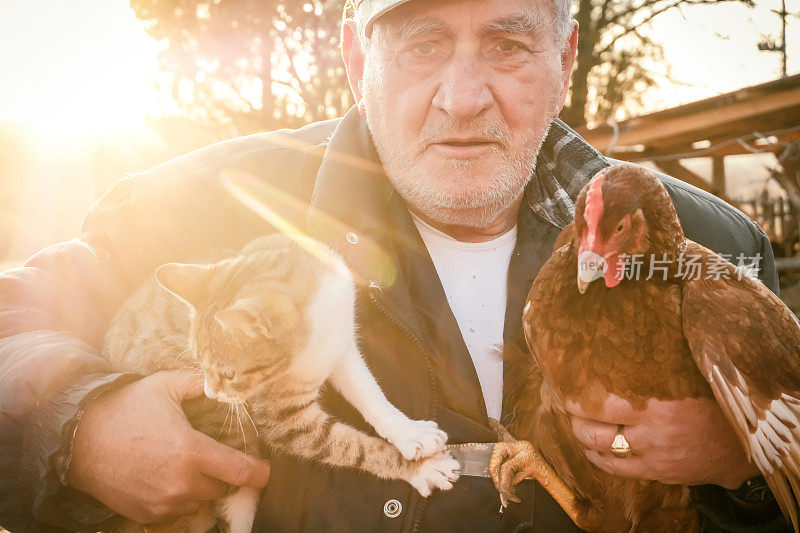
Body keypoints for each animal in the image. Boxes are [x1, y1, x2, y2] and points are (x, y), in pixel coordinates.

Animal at [103, 235, 460, 532]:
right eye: (200, 364)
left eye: (229, 374)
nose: (210, 392)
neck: (314, 339)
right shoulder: (284, 421)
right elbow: (353, 448)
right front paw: (419, 469)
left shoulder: (341, 346)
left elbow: (371, 395)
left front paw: (408, 432)